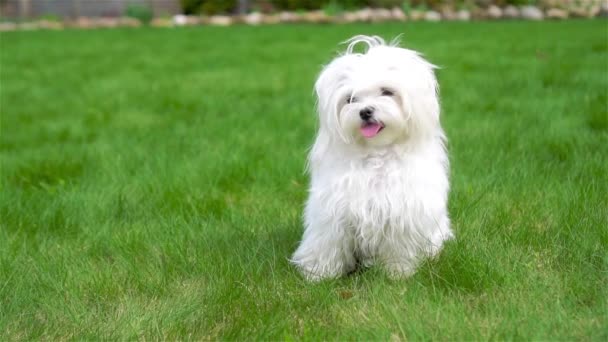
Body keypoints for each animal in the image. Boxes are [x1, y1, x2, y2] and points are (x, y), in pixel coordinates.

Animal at [292, 35, 454, 280]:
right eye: (350, 99)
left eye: (387, 92)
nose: (365, 111)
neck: (376, 155)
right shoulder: (334, 211)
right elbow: (328, 242)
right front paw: (319, 274)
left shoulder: (401, 212)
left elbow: (398, 247)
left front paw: (397, 272)